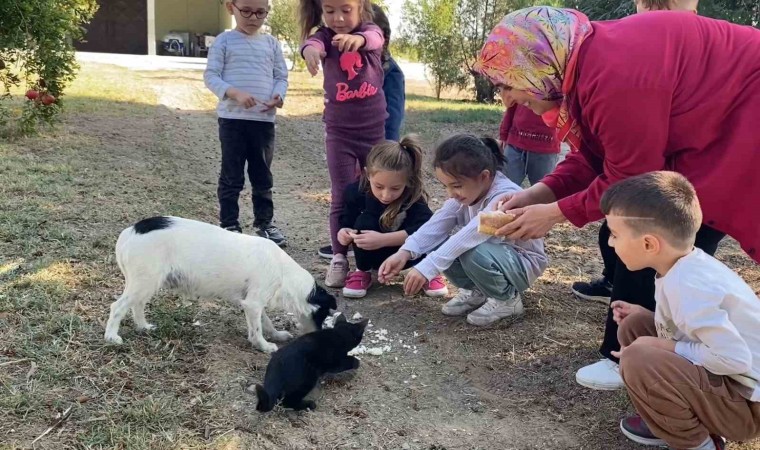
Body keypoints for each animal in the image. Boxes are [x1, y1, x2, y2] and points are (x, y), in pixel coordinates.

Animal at [104, 217, 336, 352]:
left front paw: (276, 335)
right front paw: (263, 345)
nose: (320, 337)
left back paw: (143, 327)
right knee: (118, 307)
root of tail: (129, 231)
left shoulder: (254, 302)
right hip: (145, 281)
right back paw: (111, 337)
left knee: (137, 305)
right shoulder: (252, 304)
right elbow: (257, 329)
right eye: (323, 315)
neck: (283, 271)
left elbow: (266, 322)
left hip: (147, 283)